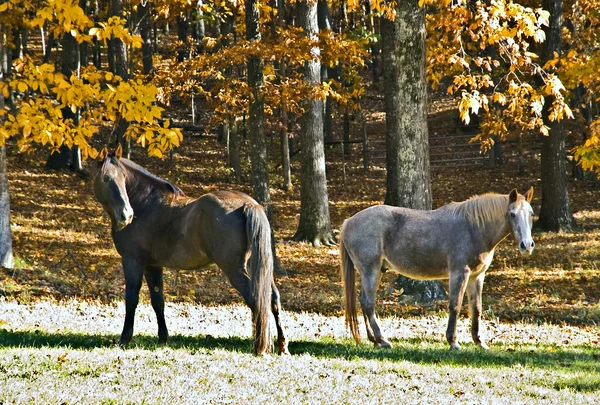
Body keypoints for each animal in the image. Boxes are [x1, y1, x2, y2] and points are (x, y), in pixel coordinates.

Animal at [90, 145, 290, 354]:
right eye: (106, 178)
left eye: (122, 178)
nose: (126, 215)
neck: (145, 205)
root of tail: (247, 204)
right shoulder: (153, 265)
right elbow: (158, 300)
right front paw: (163, 338)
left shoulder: (133, 261)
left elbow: (131, 298)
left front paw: (125, 339)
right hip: (257, 266)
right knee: (272, 297)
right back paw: (282, 346)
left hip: (234, 269)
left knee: (256, 298)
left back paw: (260, 347)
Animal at [342, 188, 536, 348]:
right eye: (512, 214)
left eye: (531, 214)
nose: (527, 245)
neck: (473, 228)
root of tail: (348, 222)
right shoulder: (460, 273)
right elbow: (455, 305)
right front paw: (453, 342)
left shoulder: (477, 276)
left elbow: (476, 308)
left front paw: (479, 342)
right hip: (371, 271)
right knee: (368, 303)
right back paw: (382, 340)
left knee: (363, 300)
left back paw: (374, 340)